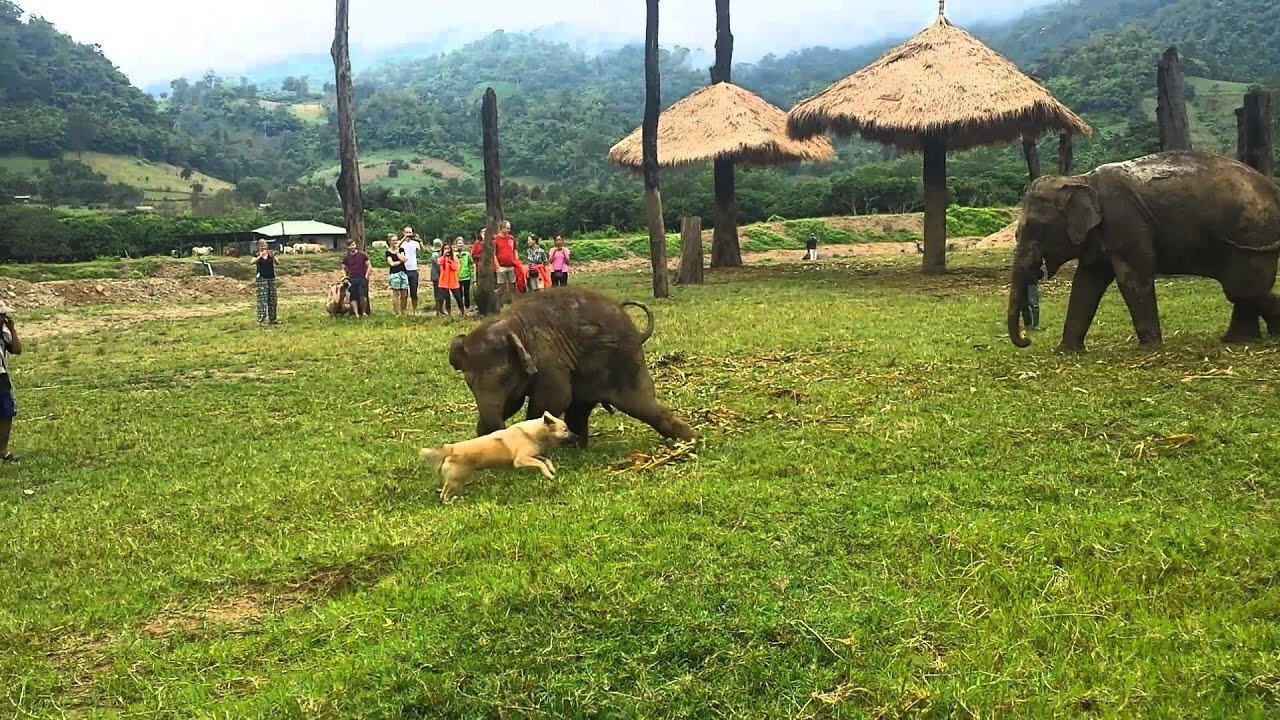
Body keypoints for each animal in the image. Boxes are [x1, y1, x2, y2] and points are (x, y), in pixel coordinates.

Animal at [448, 284, 696, 443]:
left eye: (505, 378)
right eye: (469, 383)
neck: (512, 323)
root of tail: (638, 332)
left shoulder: (549, 360)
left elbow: (553, 400)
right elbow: (513, 404)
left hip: (626, 363)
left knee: (642, 405)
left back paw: (691, 440)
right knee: (580, 408)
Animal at [1003, 149, 1280, 351]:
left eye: (1035, 228)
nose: (1027, 339)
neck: (1080, 179)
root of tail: (1273, 189)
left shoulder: (1126, 221)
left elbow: (1133, 278)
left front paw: (1150, 349)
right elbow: (1086, 281)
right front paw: (1065, 352)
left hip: (1254, 230)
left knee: (1242, 288)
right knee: (1243, 289)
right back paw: (1239, 340)